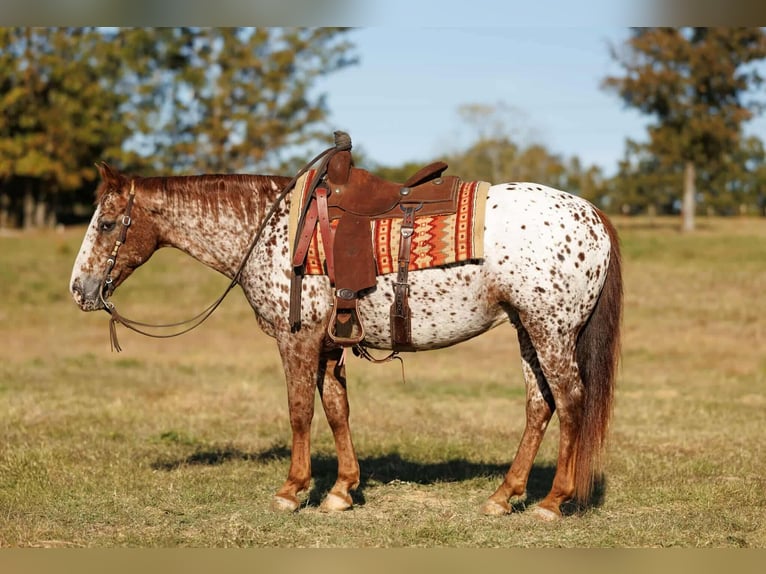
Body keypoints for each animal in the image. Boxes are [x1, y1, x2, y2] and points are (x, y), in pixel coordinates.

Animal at [70, 161, 622, 520]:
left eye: (107, 222)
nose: (79, 289)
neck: (272, 230)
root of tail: (593, 215)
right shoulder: (328, 345)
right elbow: (337, 409)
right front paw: (342, 490)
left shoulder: (296, 340)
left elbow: (299, 411)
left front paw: (293, 490)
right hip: (527, 329)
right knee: (539, 404)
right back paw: (503, 496)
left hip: (552, 330)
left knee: (571, 401)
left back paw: (553, 501)